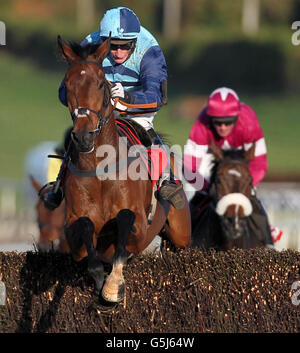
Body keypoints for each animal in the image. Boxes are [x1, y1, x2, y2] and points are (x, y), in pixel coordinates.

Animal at [57, 37, 191, 304]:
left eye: (101, 83)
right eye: (67, 83)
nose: (84, 136)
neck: (100, 168)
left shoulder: (139, 227)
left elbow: (125, 220)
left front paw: (112, 286)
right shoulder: (74, 235)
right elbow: (86, 232)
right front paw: (103, 283)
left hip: (181, 231)